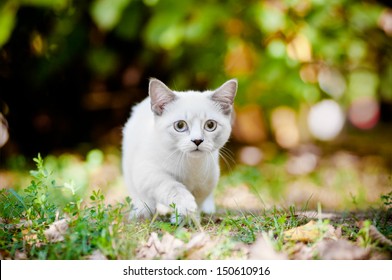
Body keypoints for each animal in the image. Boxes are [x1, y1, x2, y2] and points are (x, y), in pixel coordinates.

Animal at [121, 78, 237, 219]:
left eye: (210, 125)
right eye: (180, 125)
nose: (197, 140)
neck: (190, 165)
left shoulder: (208, 179)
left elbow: (199, 198)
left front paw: (187, 217)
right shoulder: (148, 171)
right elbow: (173, 187)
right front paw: (186, 206)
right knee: (139, 194)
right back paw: (142, 212)